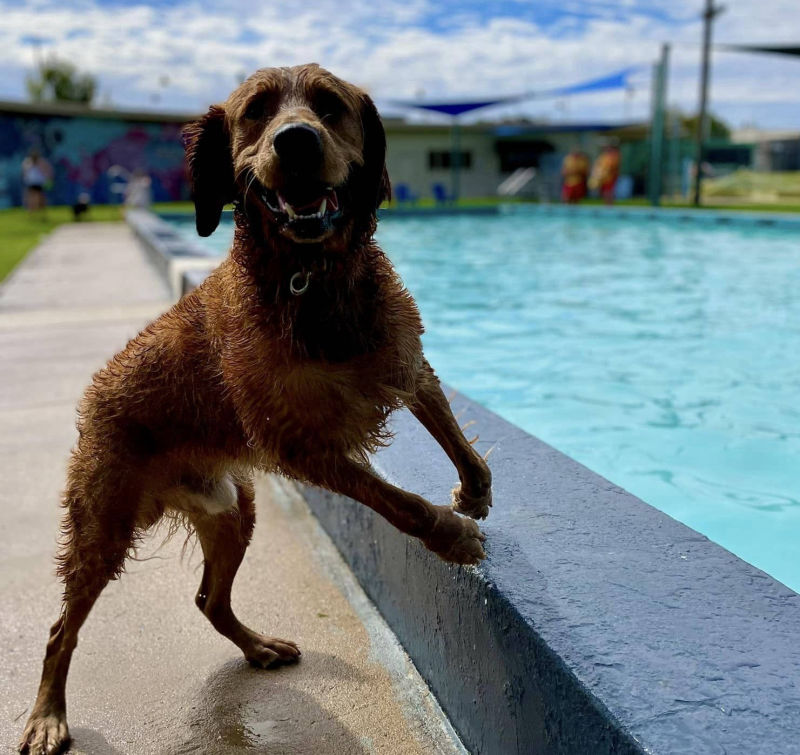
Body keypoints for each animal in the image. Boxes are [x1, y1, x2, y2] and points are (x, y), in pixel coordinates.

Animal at [20, 66, 494, 755]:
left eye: (329, 105)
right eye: (255, 112)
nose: (295, 141)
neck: (311, 278)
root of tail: (94, 396)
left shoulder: (400, 357)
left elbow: (448, 424)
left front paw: (474, 491)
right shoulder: (299, 444)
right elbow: (399, 502)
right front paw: (452, 534)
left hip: (232, 510)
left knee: (209, 601)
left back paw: (258, 646)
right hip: (103, 527)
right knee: (62, 629)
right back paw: (47, 716)